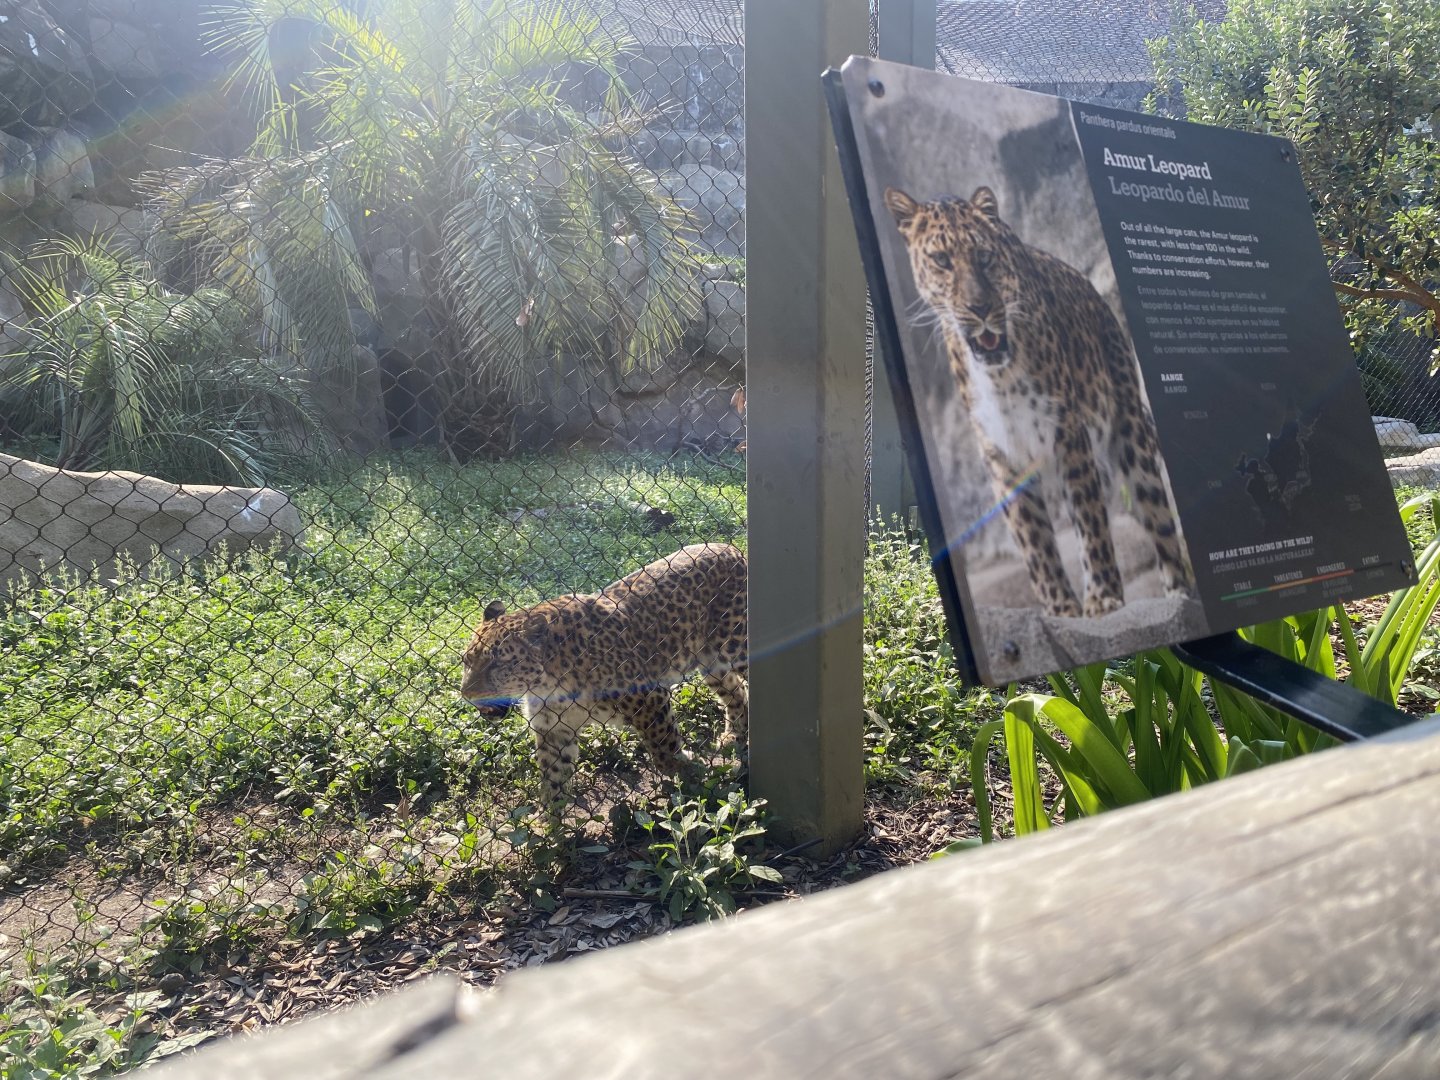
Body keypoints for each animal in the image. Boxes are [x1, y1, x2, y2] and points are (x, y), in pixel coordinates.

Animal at [460, 543, 747, 805]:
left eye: (497, 665)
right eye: (466, 661)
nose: (466, 694)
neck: (549, 683)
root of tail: (730, 548)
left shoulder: (651, 699)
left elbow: (664, 749)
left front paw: (689, 774)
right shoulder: (553, 728)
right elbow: (553, 780)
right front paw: (549, 824)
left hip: (736, 647)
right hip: (712, 664)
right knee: (737, 692)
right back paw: (734, 735)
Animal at [885, 184, 1195, 617]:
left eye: (984, 256)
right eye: (942, 261)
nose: (980, 308)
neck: (999, 376)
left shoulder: (1066, 429)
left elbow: (1089, 518)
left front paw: (1102, 598)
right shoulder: (1000, 453)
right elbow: (1033, 538)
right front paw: (1061, 608)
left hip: (1130, 431)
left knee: (1158, 519)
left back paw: (1178, 598)